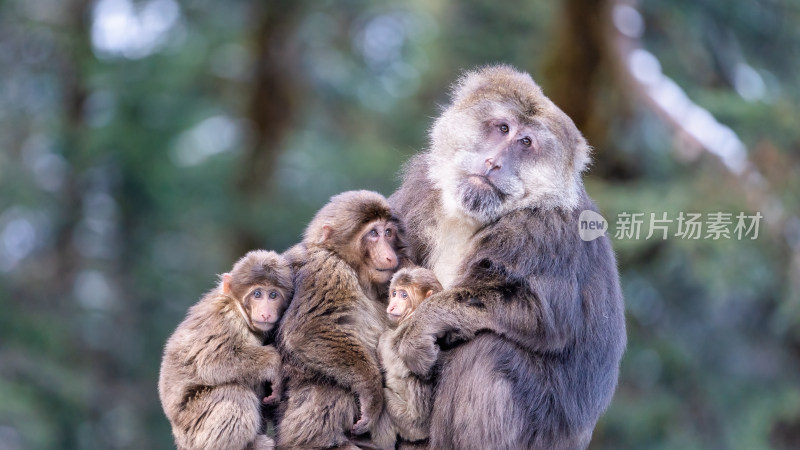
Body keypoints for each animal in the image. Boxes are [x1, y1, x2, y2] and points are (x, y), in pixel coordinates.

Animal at [158, 250, 292, 450]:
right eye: (257, 294)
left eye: (273, 295)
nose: (266, 312)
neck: (238, 307)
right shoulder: (226, 319)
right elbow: (212, 362)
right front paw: (274, 363)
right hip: (194, 429)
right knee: (234, 393)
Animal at [278, 190, 410, 450]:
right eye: (373, 233)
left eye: (388, 232)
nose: (390, 255)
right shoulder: (329, 270)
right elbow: (309, 330)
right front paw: (371, 394)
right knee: (326, 385)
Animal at [390, 66, 628, 450]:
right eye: (502, 128)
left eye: (525, 143)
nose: (493, 162)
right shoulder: (421, 191)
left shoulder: (544, 231)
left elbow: (540, 314)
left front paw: (423, 323)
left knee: (489, 350)